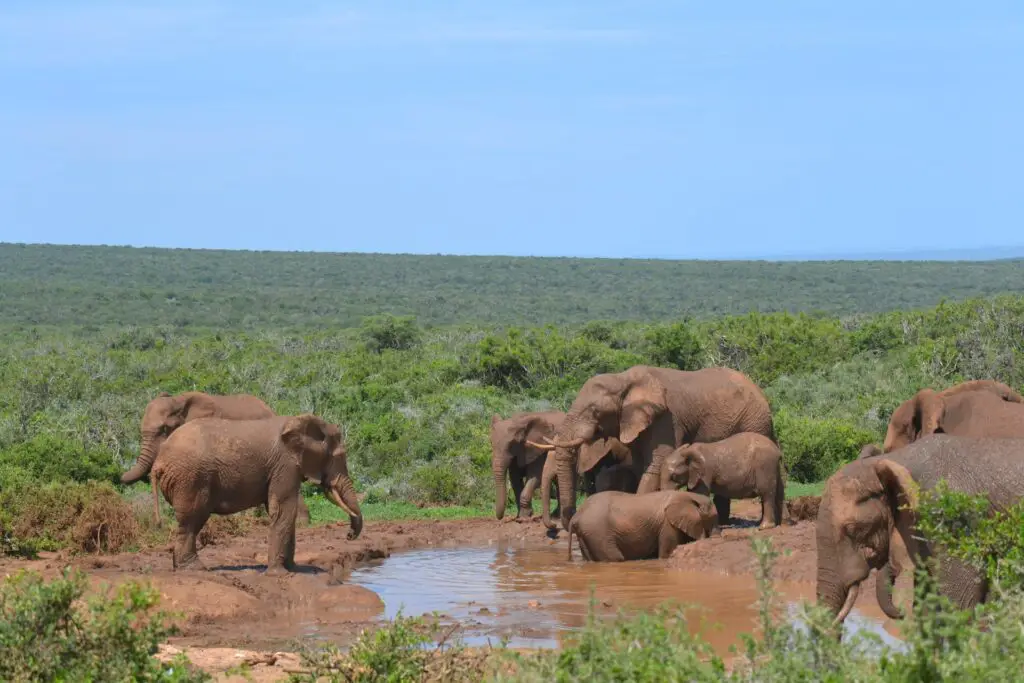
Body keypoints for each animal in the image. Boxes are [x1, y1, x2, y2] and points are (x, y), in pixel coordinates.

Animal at [149, 413, 362, 573]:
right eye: (338, 457)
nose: (349, 536)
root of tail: (158, 462)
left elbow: (284, 512)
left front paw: (293, 569)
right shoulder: (285, 465)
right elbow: (282, 509)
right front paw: (280, 573)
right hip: (191, 479)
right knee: (191, 521)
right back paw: (195, 568)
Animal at [532, 366, 770, 532]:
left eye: (594, 411)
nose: (557, 526)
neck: (623, 379)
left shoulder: (666, 419)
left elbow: (655, 464)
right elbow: (640, 465)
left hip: (755, 422)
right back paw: (723, 520)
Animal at [565, 489, 716, 565]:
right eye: (713, 517)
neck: (690, 495)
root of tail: (577, 515)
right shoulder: (667, 524)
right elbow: (666, 552)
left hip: (587, 533)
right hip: (597, 531)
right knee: (615, 558)